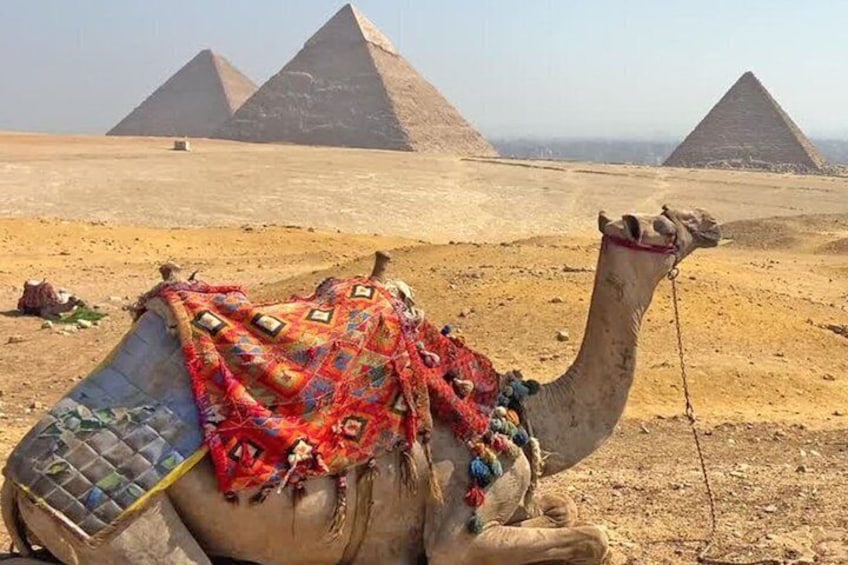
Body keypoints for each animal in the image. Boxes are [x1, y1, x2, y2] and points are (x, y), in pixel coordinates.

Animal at [1, 206, 720, 565]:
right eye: (664, 223)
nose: (710, 221)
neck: (522, 410)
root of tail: (16, 478)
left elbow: (566, 511)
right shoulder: (457, 531)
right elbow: (592, 539)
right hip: (121, 530)